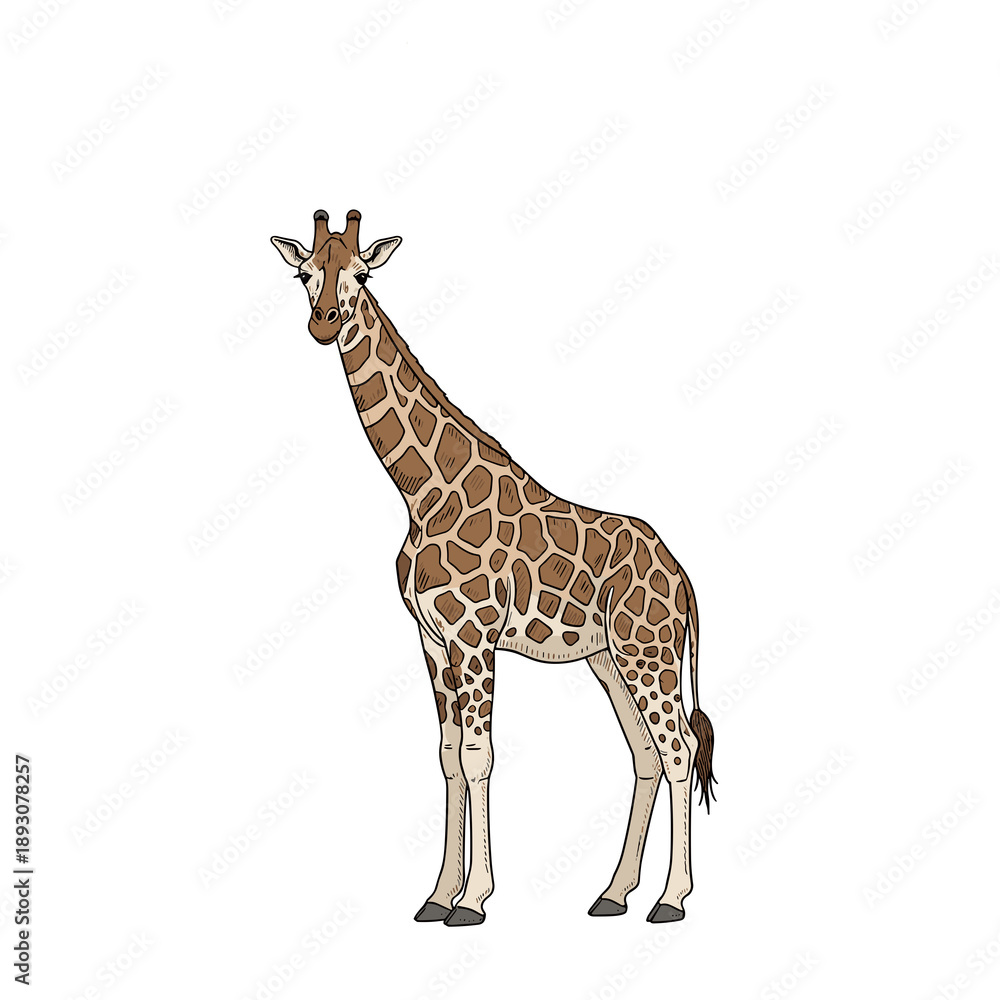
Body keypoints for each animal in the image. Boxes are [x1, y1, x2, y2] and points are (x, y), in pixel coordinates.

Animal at [271, 209, 716, 926]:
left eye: (362, 273)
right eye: (303, 273)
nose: (324, 322)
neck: (422, 491)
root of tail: (684, 579)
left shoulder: (474, 634)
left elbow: (479, 757)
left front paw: (473, 900)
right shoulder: (431, 639)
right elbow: (448, 758)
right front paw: (435, 895)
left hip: (648, 652)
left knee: (679, 752)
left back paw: (671, 900)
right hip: (609, 658)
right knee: (646, 755)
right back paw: (613, 893)